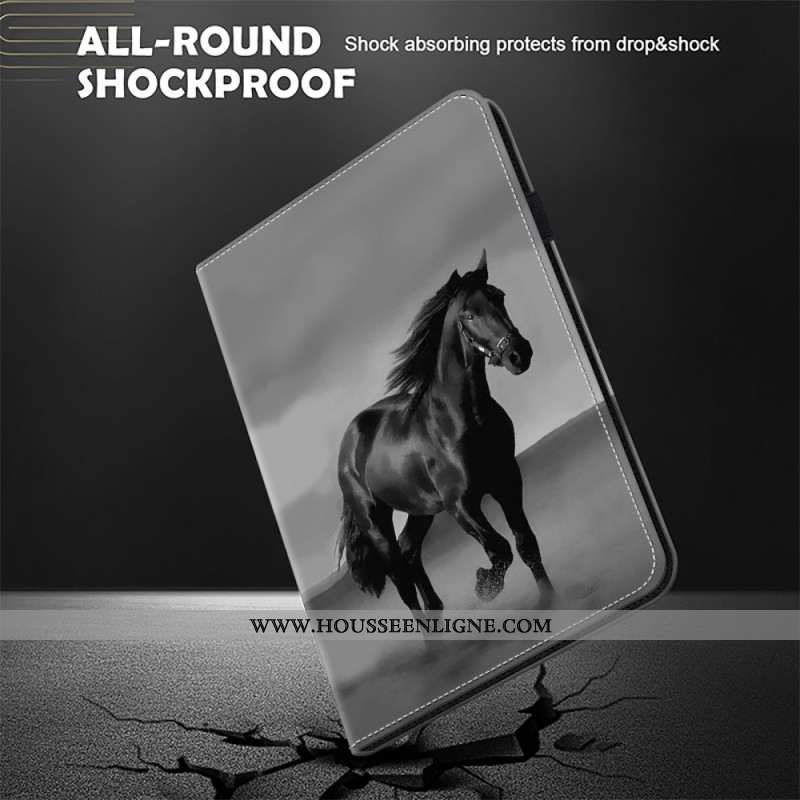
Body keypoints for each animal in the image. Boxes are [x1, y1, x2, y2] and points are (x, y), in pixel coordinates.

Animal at [336, 250, 553, 612]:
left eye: (499, 296)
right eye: (469, 314)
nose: (519, 354)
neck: (462, 420)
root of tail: (349, 442)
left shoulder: (507, 480)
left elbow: (526, 543)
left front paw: (551, 599)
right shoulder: (460, 505)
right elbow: (500, 549)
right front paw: (485, 586)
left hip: (419, 510)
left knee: (410, 554)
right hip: (375, 521)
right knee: (401, 579)